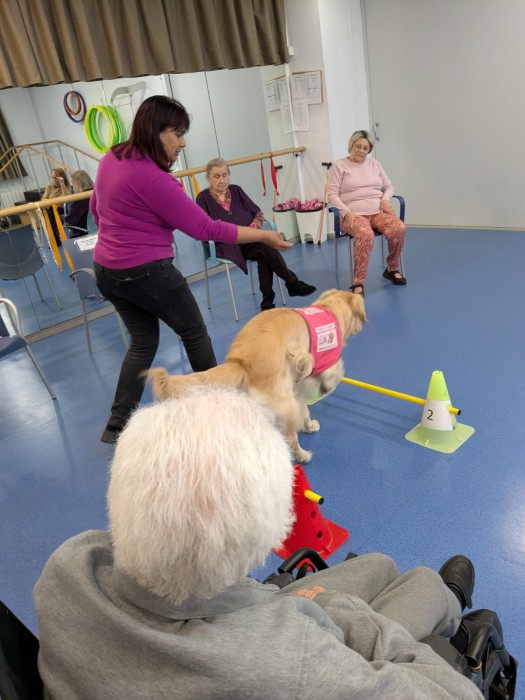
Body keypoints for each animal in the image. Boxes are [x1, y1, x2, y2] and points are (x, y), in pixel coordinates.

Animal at [148, 289, 367, 463]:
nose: (361, 328)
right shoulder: (326, 362)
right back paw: (303, 455)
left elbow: (305, 407)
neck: (330, 309)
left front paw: (309, 424)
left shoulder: (297, 388)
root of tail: (241, 363)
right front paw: (327, 387)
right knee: (290, 438)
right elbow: (336, 372)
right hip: (284, 405)